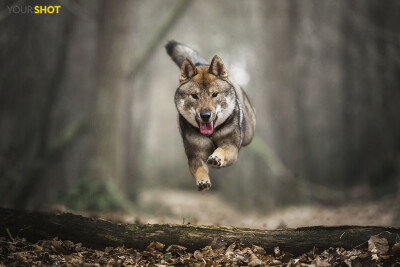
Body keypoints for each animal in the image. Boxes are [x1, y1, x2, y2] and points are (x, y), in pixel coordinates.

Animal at [166, 40, 256, 192]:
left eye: (214, 94)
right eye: (194, 96)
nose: (205, 115)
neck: (211, 135)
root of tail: (201, 63)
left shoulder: (231, 147)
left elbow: (221, 149)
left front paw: (216, 158)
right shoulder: (195, 156)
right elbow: (200, 169)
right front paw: (202, 181)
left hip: (248, 135)